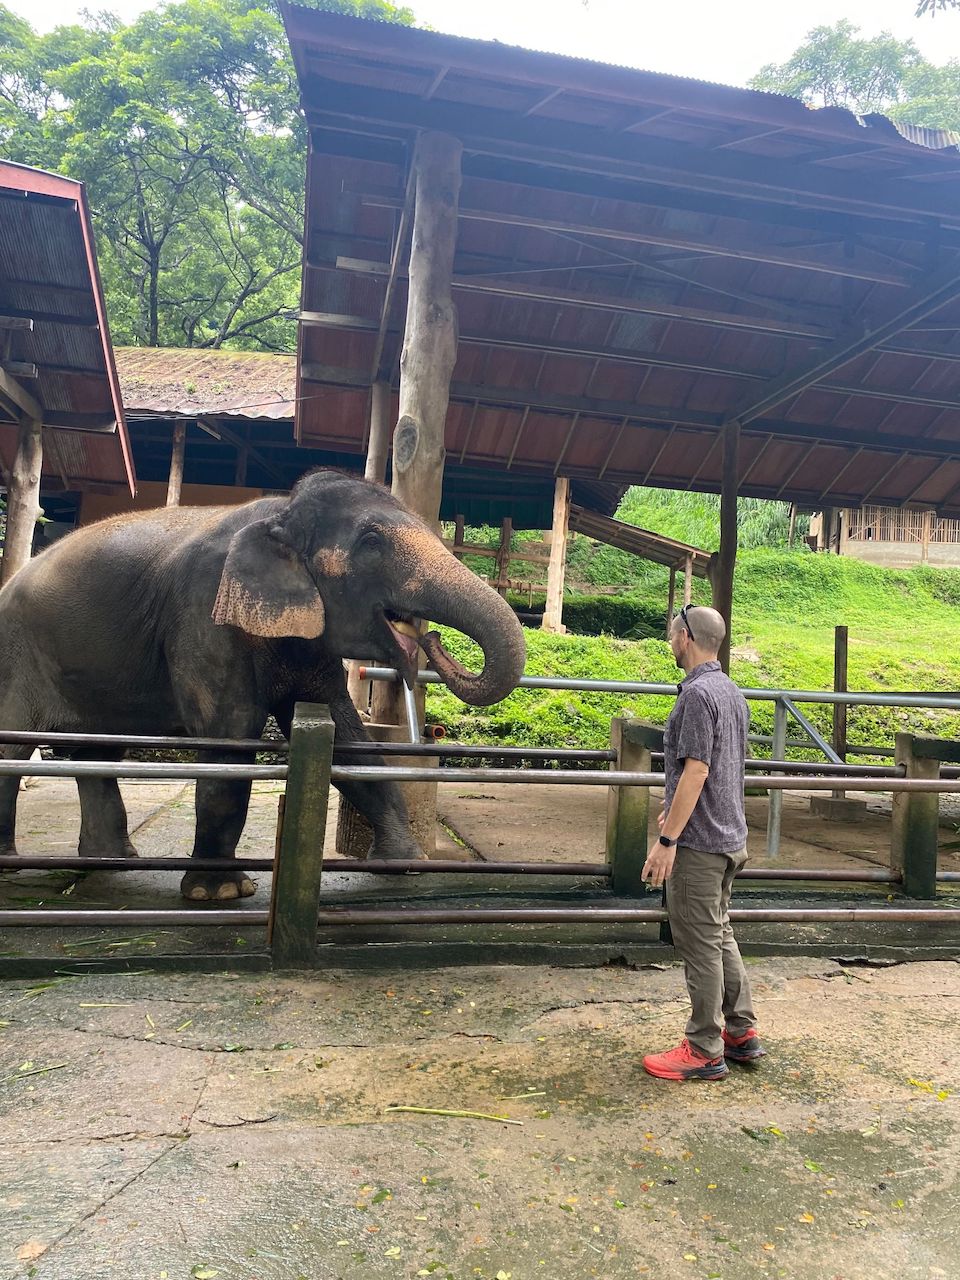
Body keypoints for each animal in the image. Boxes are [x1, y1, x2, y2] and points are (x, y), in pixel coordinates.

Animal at [0, 470, 526, 900]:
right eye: (372, 542)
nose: (432, 638)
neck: (280, 512)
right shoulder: (204, 612)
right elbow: (231, 734)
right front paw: (221, 893)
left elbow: (347, 737)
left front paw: (405, 866)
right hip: (14, 656)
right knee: (16, 747)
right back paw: (16, 868)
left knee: (98, 752)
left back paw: (112, 863)